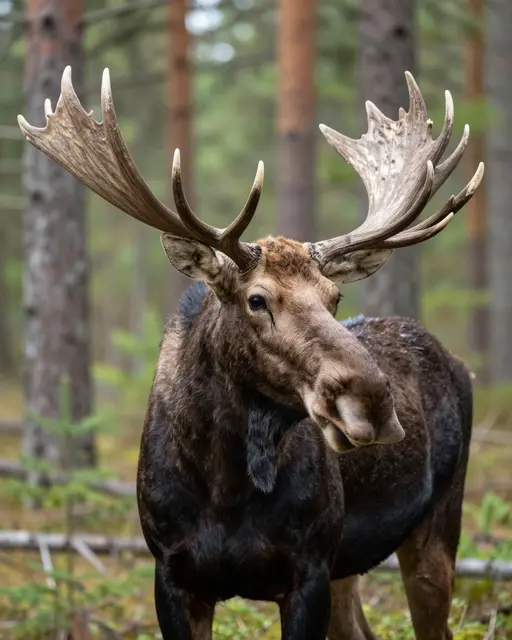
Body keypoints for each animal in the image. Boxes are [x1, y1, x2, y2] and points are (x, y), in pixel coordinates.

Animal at [18, 67, 483, 640]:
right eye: (256, 299)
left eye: (335, 297)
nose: (374, 401)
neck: (226, 489)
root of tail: (461, 366)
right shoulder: (172, 572)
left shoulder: (309, 567)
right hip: (350, 564)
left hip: (435, 522)